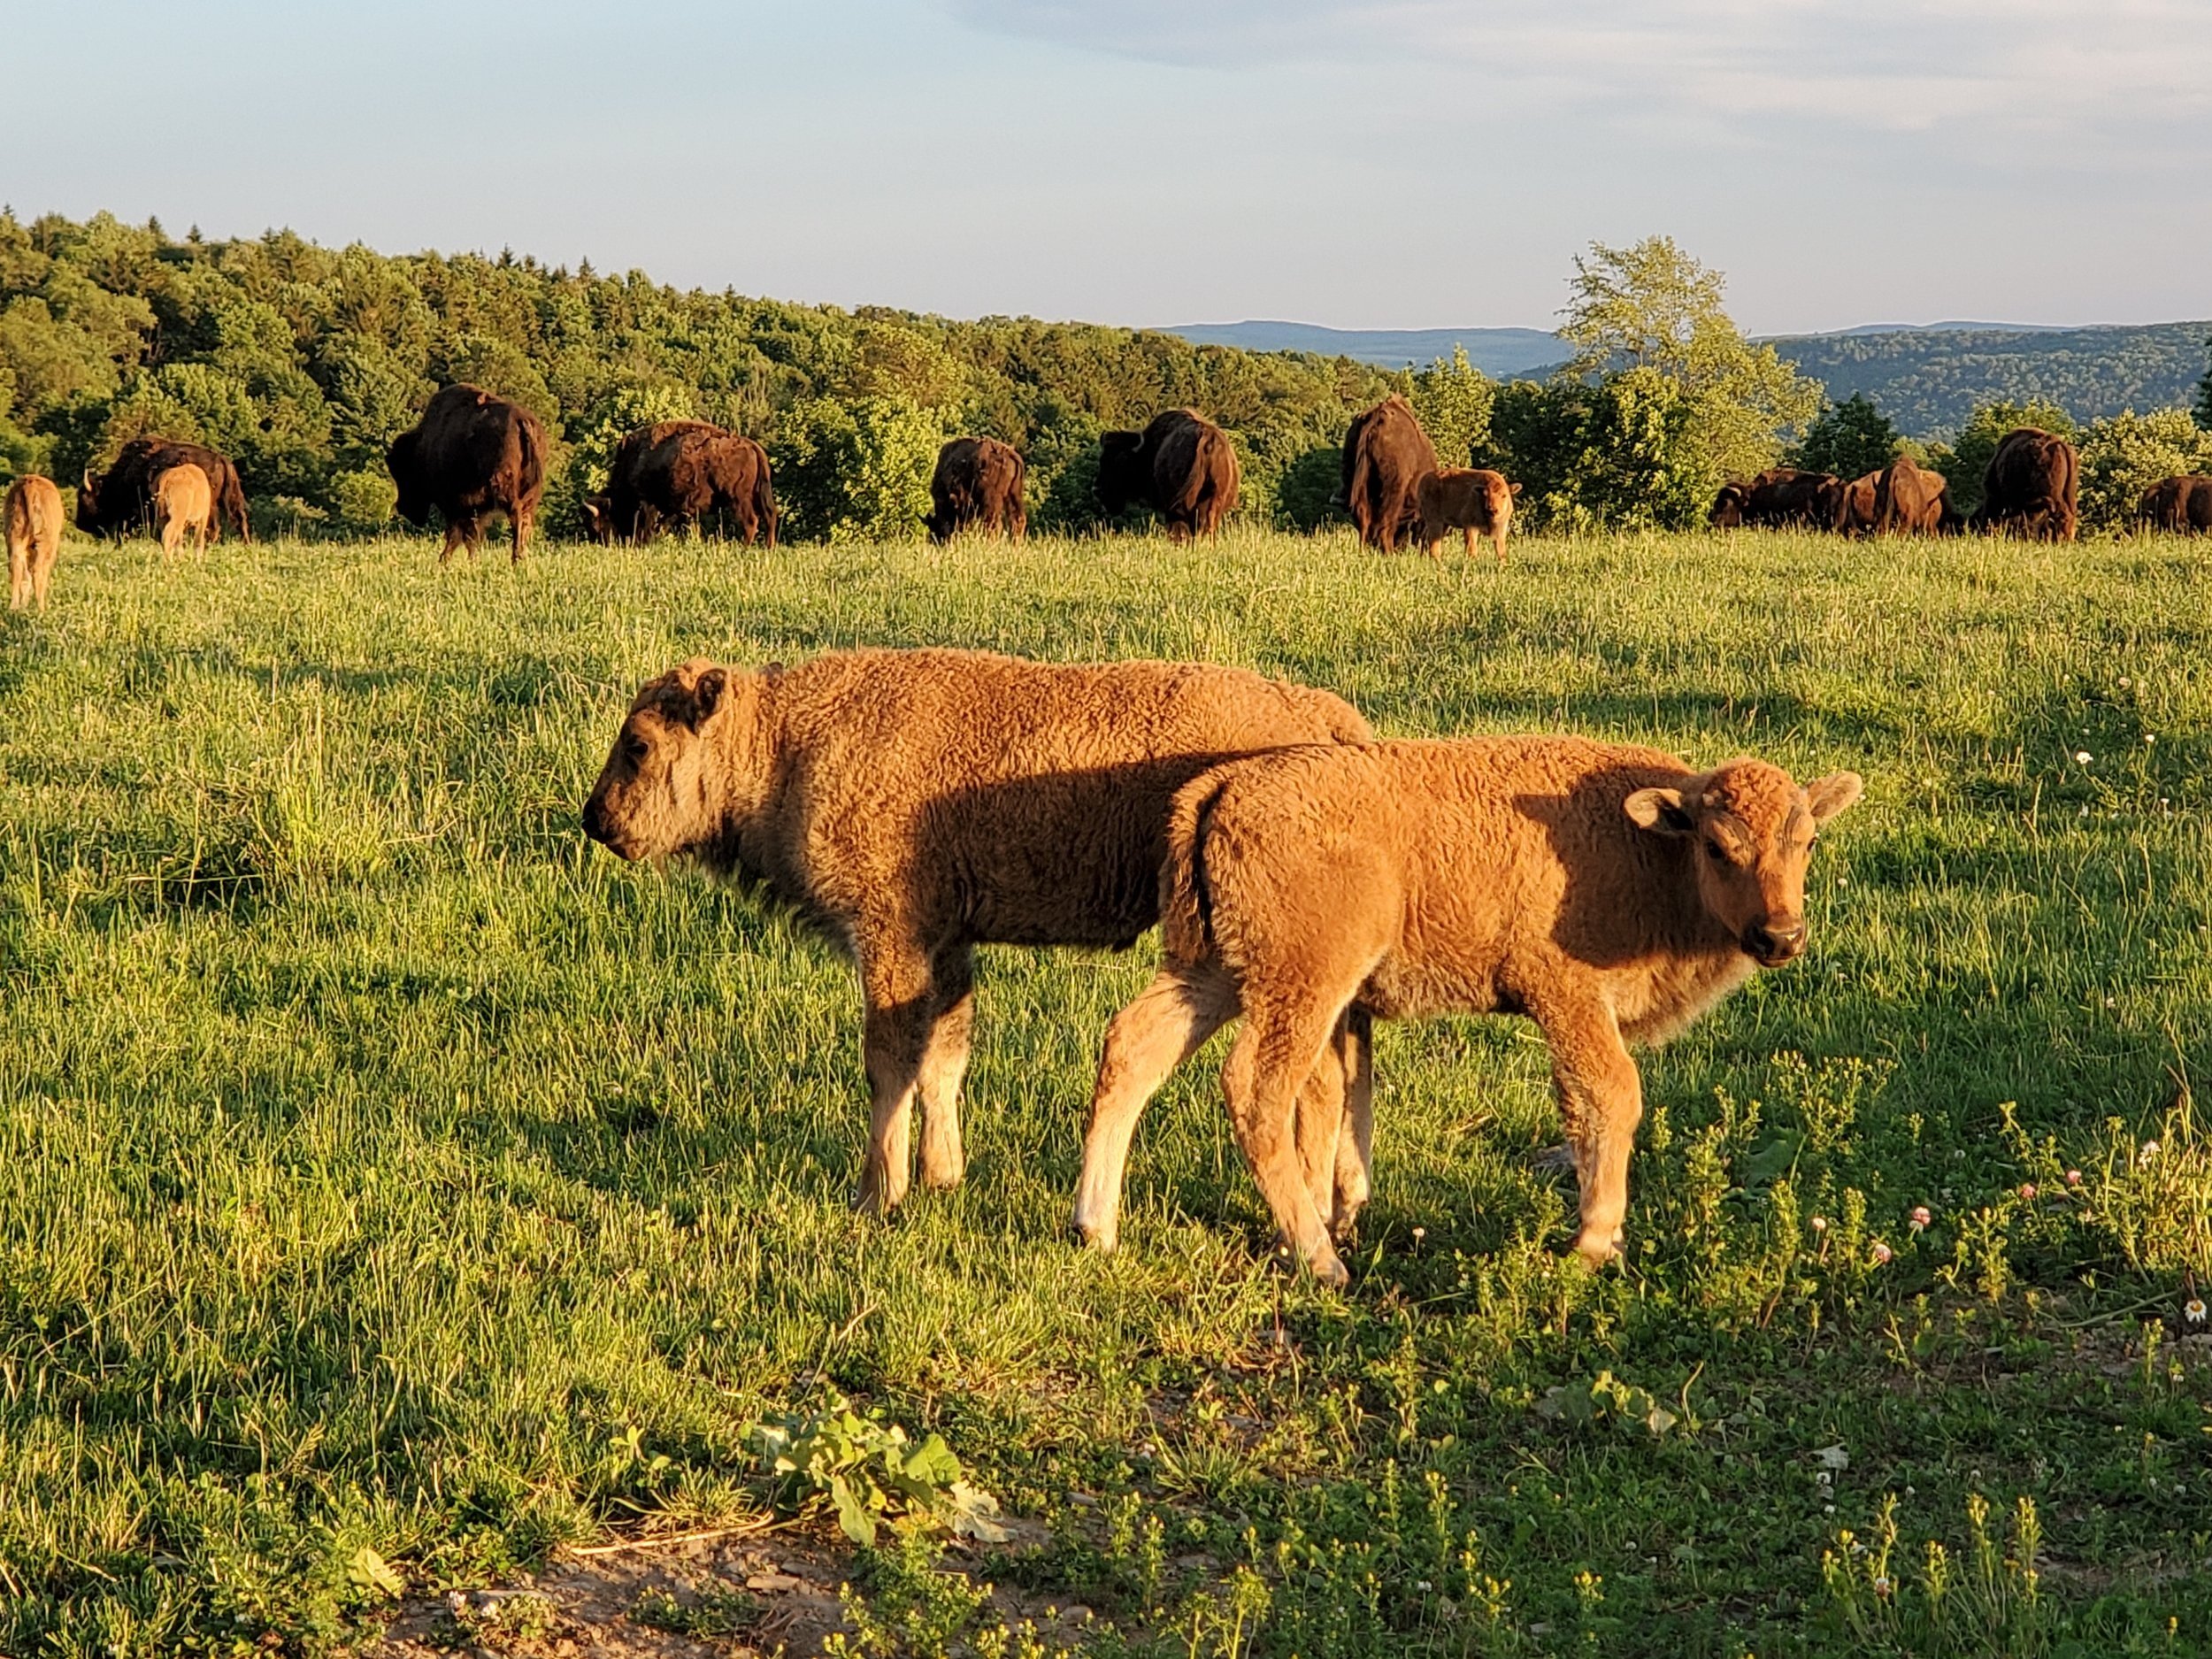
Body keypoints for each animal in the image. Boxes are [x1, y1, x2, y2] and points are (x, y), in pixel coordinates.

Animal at [5, 474, 63, 611]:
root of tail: (30, 484)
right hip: (44, 542)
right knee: (37, 571)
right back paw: (41, 608)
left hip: (15, 536)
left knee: (16, 567)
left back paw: (14, 607)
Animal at [386, 384, 547, 564]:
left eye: (401, 472)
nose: (403, 509)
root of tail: (522, 421)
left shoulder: (455, 505)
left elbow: (459, 534)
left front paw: (445, 559)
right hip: (531, 494)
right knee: (525, 521)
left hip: (502, 485)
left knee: (515, 516)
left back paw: (516, 557)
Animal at [581, 649, 1375, 1220]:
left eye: (639, 745)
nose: (594, 820)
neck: (784, 745)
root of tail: (1328, 717)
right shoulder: (946, 943)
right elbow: (945, 1055)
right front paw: (944, 1175)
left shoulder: (891, 938)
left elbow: (890, 1062)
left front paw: (877, 1194)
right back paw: (1342, 1204)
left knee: (1315, 1072)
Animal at [595, 420, 776, 546]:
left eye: (603, 521)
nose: (606, 543)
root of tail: (752, 445)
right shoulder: (673, 508)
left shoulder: (648, 503)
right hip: (759, 494)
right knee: (770, 516)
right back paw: (768, 548)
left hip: (738, 498)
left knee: (750, 521)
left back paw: (744, 547)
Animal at [1070, 739, 1861, 1283]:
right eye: (1719, 846)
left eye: (1808, 841)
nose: (1781, 935)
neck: (1648, 846)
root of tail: (1223, 784)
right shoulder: (1567, 996)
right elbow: (1614, 1094)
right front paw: (1596, 1242)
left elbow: (1578, 1106)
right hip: (1301, 983)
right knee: (1257, 1088)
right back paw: (1322, 1260)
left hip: (1217, 972)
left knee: (1133, 1045)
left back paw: (1096, 1229)